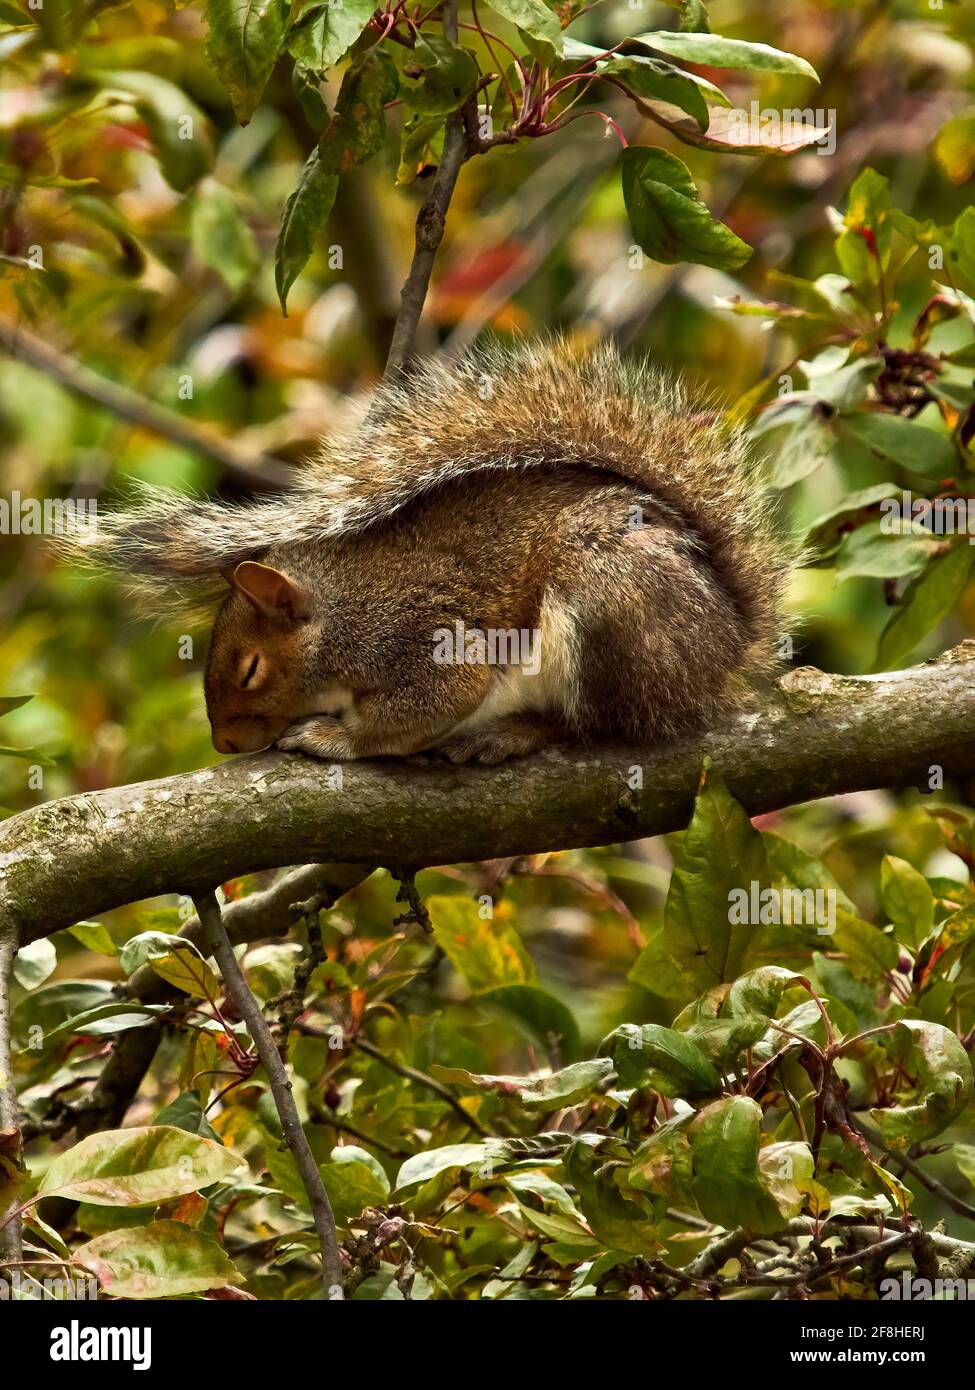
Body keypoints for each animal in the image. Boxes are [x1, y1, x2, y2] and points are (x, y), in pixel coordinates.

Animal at [73, 340, 790, 765]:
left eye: (250, 669)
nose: (224, 744)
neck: (340, 616)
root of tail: (725, 645)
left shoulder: (418, 640)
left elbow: (427, 704)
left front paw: (334, 738)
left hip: (606, 604)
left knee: (606, 724)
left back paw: (514, 733)